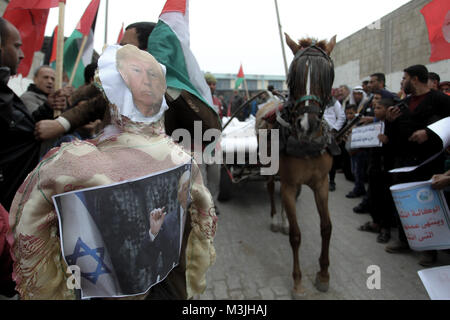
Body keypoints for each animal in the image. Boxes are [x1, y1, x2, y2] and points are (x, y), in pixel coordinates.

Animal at [255, 32, 336, 298]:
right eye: (294, 74)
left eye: (327, 75)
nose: (306, 125)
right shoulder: (290, 183)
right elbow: (296, 235)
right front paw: (298, 282)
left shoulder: (321, 183)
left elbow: (326, 227)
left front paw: (323, 274)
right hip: (268, 165)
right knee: (272, 188)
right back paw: (275, 219)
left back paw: (282, 218)